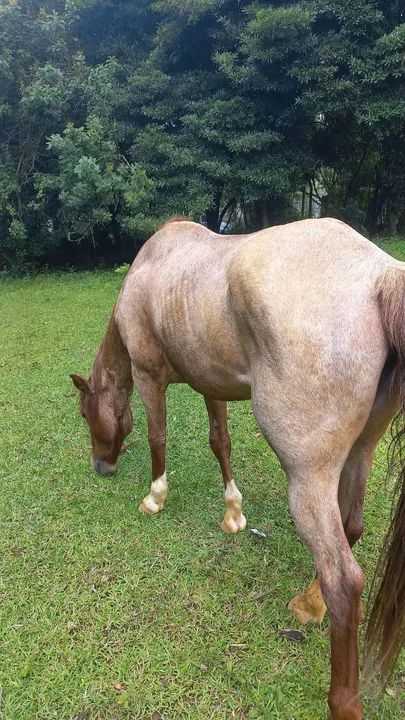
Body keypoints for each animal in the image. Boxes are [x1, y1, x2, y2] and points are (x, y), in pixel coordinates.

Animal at [71, 217, 405, 719]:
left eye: (86, 414)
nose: (101, 466)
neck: (152, 268)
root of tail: (379, 277)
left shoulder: (149, 376)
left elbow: (157, 438)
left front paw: (155, 497)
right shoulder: (212, 383)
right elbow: (220, 443)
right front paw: (233, 513)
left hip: (307, 478)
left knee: (344, 578)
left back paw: (342, 697)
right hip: (361, 452)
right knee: (351, 527)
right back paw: (310, 605)